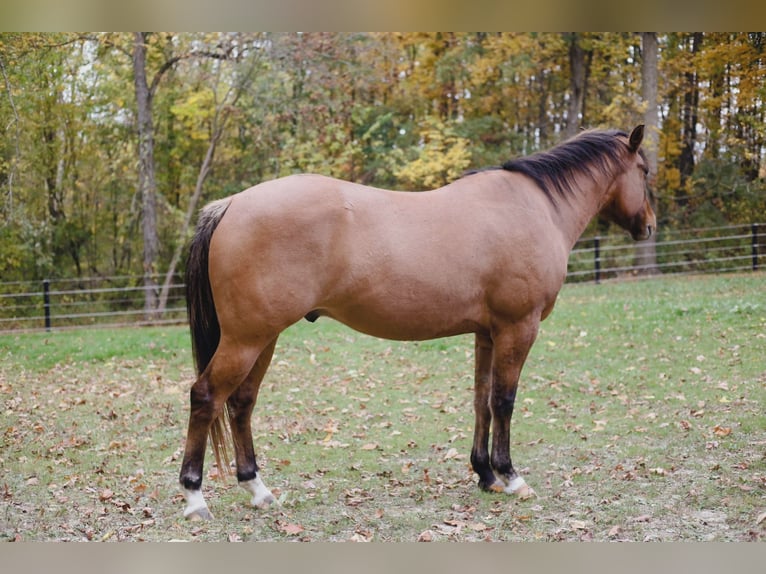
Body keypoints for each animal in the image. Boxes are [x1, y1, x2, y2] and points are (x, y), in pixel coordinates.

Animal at [179, 125, 656, 520]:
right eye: (645, 170)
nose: (649, 226)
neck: (532, 207)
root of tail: (231, 205)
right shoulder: (518, 327)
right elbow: (504, 400)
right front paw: (511, 476)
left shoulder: (487, 333)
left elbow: (481, 400)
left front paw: (485, 475)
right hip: (246, 338)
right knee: (206, 397)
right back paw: (195, 497)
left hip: (263, 338)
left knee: (241, 403)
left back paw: (258, 490)